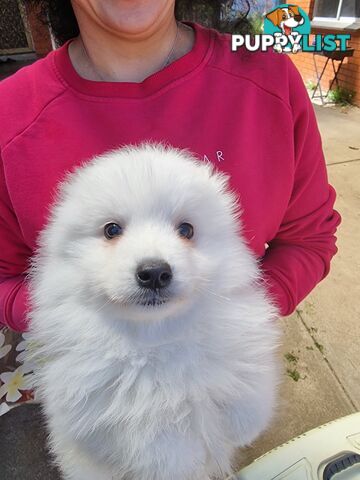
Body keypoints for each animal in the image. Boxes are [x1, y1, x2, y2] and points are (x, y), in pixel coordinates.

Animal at [26, 143, 282, 480]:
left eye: (186, 230)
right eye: (111, 230)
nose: (154, 273)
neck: (156, 341)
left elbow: (245, 405)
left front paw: (241, 429)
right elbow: (163, 452)